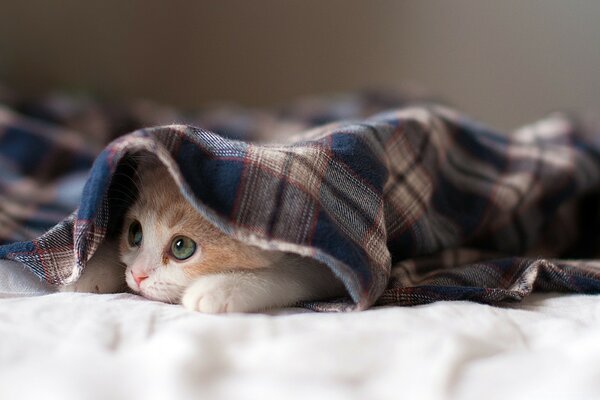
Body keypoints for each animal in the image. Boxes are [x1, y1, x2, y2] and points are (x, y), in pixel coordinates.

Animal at [61, 155, 344, 314]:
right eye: (135, 233)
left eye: (181, 247)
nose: (138, 275)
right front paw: (90, 269)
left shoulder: (330, 259)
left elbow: (295, 274)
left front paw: (221, 286)